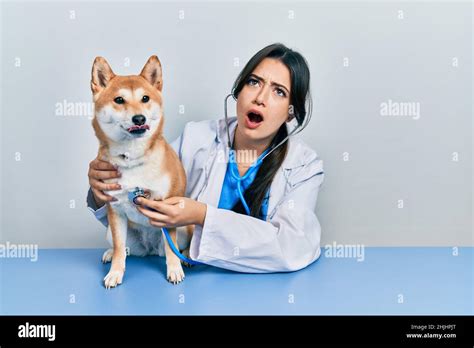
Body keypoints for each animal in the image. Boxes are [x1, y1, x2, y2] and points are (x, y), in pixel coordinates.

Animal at [90, 55, 193, 288]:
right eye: (119, 100)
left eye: (145, 98)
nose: (139, 119)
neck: (132, 160)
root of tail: (151, 248)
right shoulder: (115, 210)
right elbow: (120, 250)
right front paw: (115, 272)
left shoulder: (168, 209)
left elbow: (172, 247)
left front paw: (175, 270)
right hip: (113, 231)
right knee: (124, 248)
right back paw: (110, 253)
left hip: (185, 227)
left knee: (179, 245)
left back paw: (187, 257)